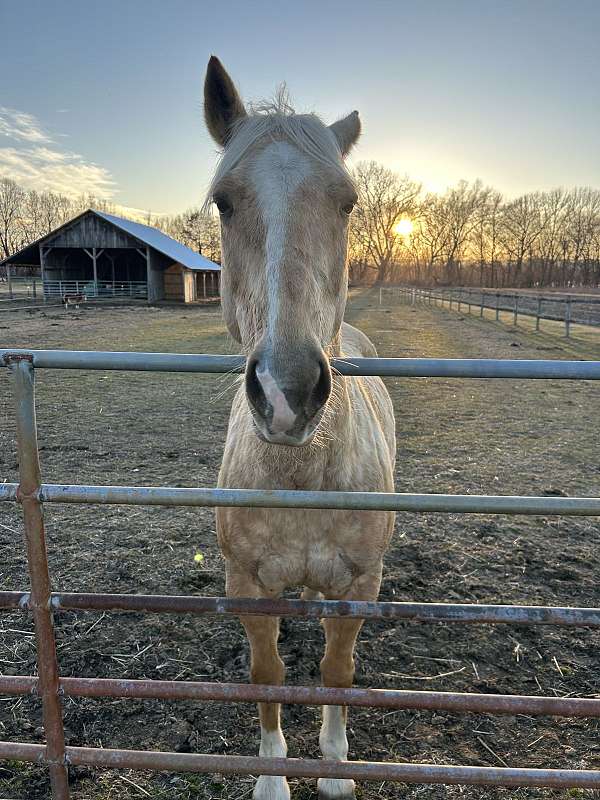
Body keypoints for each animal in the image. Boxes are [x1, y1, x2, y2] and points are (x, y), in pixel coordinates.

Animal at [204, 56, 396, 800]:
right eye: (224, 202)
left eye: (347, 202)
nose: (287, 393)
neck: (301, 479)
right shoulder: (248, 585)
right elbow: (269, 677)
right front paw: (272, 777)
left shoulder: (360, 585)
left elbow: (337, 675)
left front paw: (336, 772)